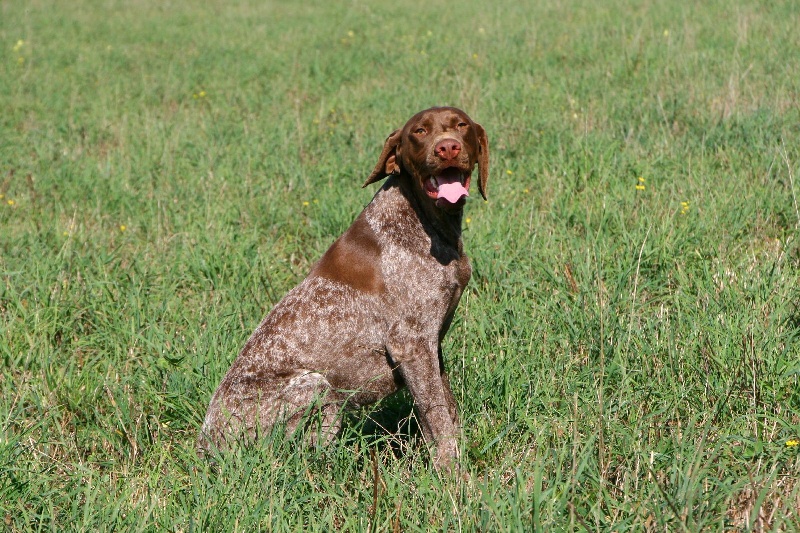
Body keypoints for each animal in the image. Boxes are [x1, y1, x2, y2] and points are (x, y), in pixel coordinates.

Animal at [200, 106, 488, 468]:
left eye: (461, 125)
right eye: (419, 132)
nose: (447, 148)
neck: (424, 221)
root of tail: (205, 447)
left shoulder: (430, 344)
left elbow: (446, 410)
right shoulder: (411, 343)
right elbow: (437, 416)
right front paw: (452, 473)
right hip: (315, 385)